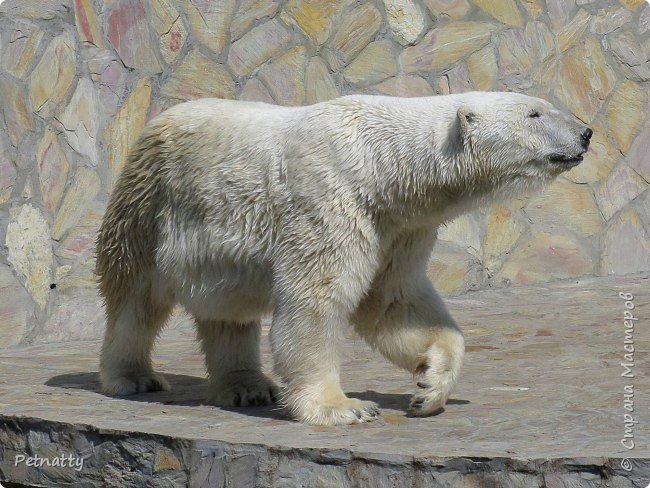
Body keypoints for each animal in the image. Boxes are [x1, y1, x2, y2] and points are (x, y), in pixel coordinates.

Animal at [93, 91, 588, 424]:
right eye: (534, 112)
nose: (585, 132)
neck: (382, 166)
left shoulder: (397, 228)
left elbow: (392, 302)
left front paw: (429, 386)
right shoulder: (330, 201)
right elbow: (316, 301)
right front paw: (344, 406)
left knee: (228, 311)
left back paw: (247, 387)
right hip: (149, 206)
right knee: (136, 298)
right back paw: (133, 377)